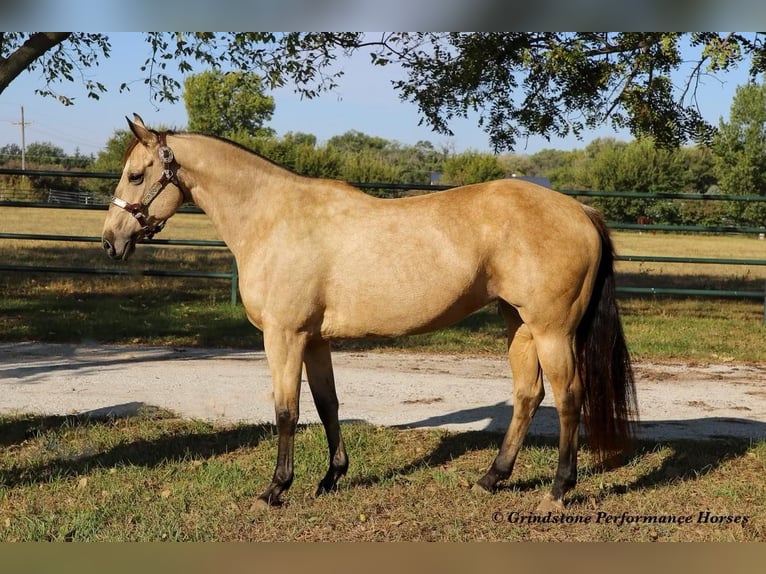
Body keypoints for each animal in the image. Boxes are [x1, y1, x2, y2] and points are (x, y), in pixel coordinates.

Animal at [103, 115, 640, 510]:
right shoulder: (314, 339)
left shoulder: (284, 336)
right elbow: (327, 404)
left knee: (568, 399)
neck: (274, 217)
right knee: (528, 394)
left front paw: (276, 488)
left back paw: (558, 490)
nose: (111, 241)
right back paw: (492, 478)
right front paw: (331, 478)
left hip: (552, 330)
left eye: (136, 174)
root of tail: (580, 210)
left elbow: (286, 410)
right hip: (518, 323)